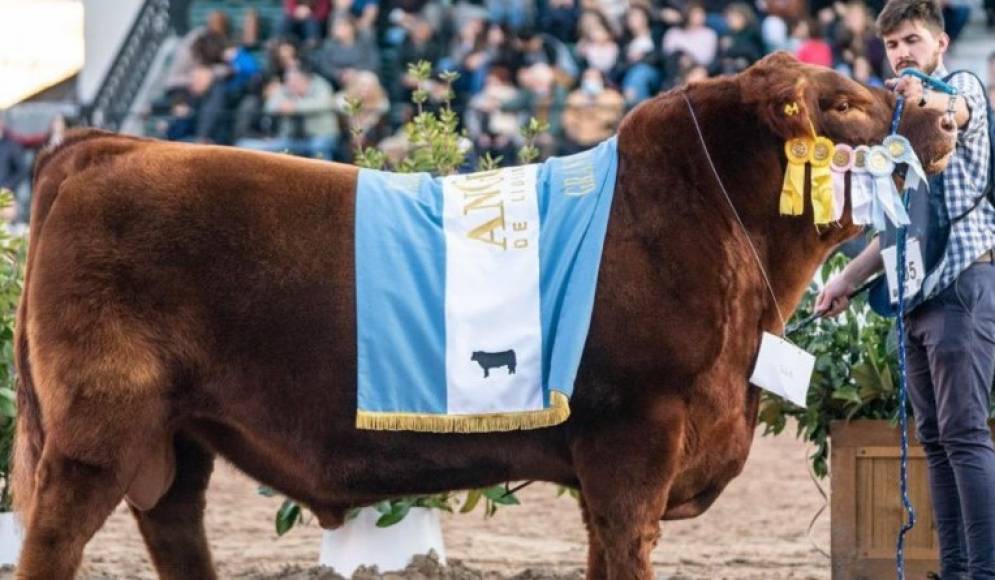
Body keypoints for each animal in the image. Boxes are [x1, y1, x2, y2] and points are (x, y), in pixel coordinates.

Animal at [9, 52, 956, 576]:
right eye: (840, 103)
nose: (945, 114)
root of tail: (103, 145)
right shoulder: (632, 443)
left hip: (177, 439)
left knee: (173, 529)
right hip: (96, 428)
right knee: (50, 541)